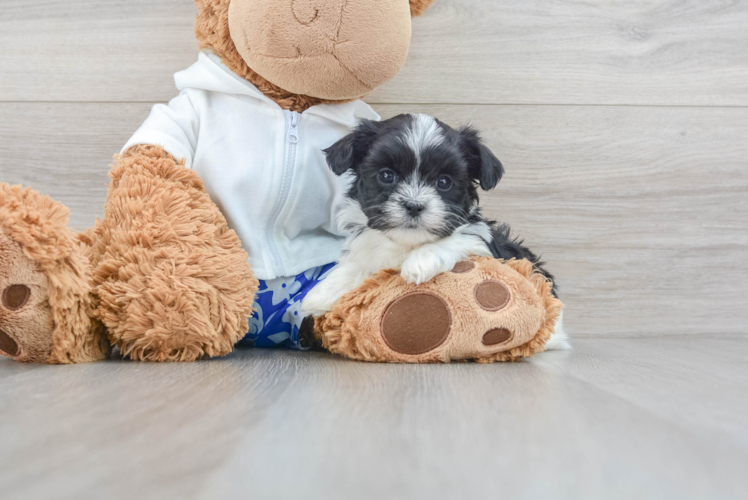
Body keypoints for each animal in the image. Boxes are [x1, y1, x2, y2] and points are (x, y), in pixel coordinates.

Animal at [300, 114, 568, 350]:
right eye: (387, 175)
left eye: (444, 182)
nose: (414, 205)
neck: (407, 244)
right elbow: (357, 264)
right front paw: (322, 293)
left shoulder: (481, 241)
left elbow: (457, 239)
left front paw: (420, 262)